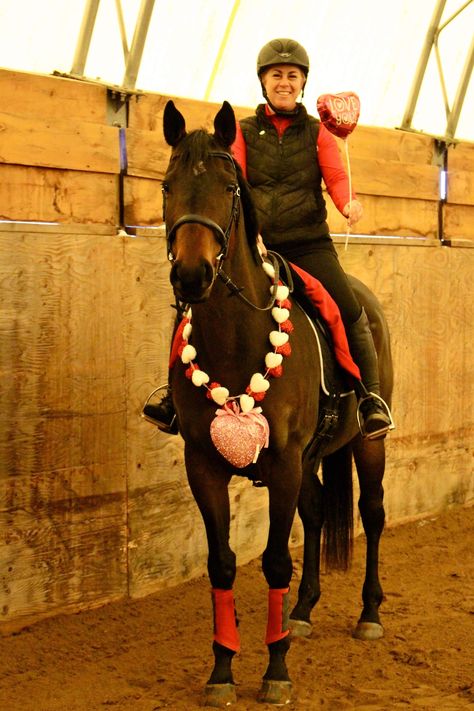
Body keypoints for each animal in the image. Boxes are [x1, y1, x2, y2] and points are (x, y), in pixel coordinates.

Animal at [161, 100, 390, 708]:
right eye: (167, 187)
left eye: (227, 189)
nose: (191, 275)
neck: (236, 335)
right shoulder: (204, 465)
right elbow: (222, 564)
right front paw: (222, 671)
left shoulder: (284, 464)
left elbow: (274, 560)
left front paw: (276, 670)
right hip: (310, 462)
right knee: (316, 513)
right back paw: (303, 612)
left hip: (368, 445)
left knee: (373, 514)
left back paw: (369, 613)